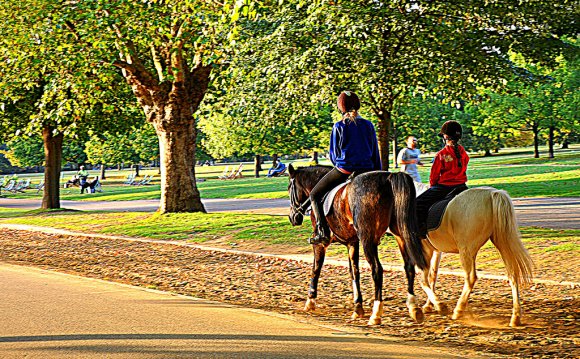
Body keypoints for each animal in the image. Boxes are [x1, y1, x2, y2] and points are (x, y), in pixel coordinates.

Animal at [288, 166, 428, 326]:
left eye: (289, 188)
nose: (292, 217)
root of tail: (388, 177)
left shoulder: (320, 245)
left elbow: (315, 269)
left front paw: (310, 301)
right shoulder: (352, 243)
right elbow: (354, 272)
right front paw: (357, 307)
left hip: (368, 239)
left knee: (377, 270)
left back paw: (376, 313)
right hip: (400, 234)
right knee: (409, 266)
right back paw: (413, 307)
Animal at [412, 184, 536, 328]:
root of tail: (493, 193)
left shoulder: (423, 249)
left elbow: (422, 278)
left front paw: (426, 308)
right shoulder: (435, 251)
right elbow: (432, 276)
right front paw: (429, 305)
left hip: (465, 250)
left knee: (470, 278)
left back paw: (458, 310)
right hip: (501, 244)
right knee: (512, 274)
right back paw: (515, 317)